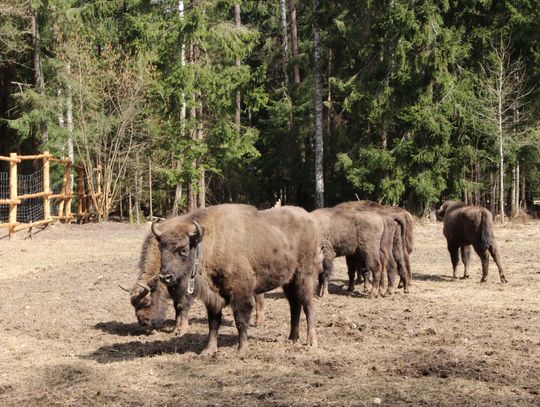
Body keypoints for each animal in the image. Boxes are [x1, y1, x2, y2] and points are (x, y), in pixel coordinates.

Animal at [152, 204, 320, 356]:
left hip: (304, 276)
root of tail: (309, 219)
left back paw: (311, 341)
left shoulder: (241, 293)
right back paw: (292, 338)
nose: (165, 276)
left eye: (184, 250)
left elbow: (241, 321)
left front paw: (241, 351)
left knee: (308, 305)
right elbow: (213, 323)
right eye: (161, 248)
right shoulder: (213, 297)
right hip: (289, 281)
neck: (212, 242)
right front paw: (208, 351)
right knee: (294, 306)